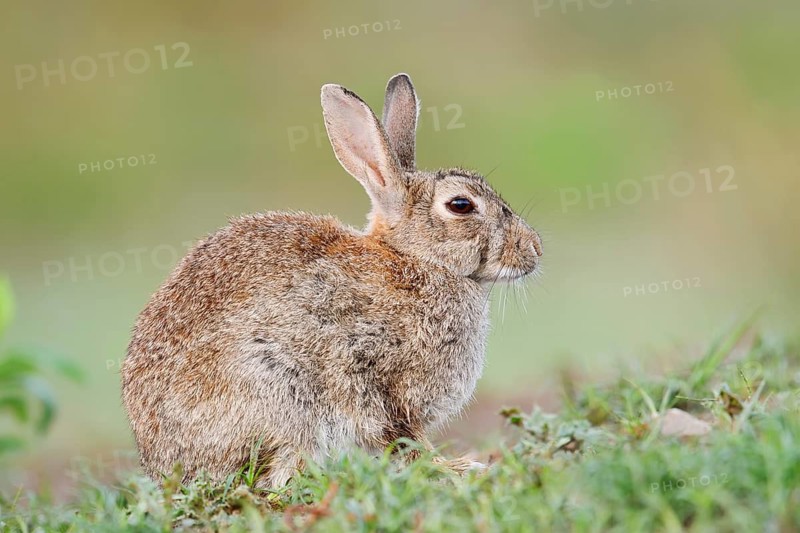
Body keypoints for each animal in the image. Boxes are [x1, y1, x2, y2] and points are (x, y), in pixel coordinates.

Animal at [121, 73, 543, 488]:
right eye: (461, 205)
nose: (534, 248)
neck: (415, 259)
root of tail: (163, 463)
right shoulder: (382, 382)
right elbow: (406, 440)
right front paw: (456, 468)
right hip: (279, 388)